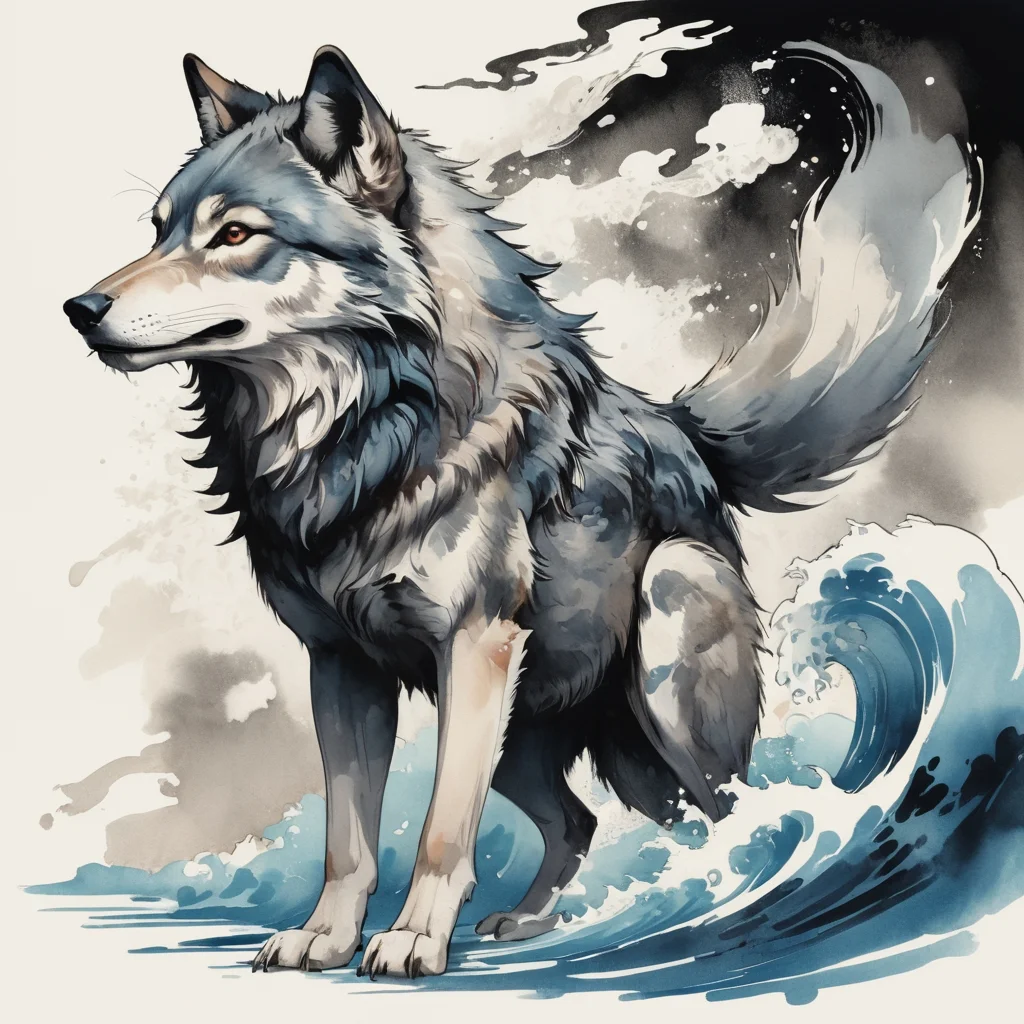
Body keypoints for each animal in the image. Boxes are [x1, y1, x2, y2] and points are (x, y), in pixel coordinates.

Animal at [64, 45, 976, 977]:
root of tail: (689, 436)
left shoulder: (475, 644)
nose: (80, 309)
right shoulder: (341, 668)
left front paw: (411, 942)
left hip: (654, 656)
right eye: (159, 230)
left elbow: (439, 831)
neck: (372, 429)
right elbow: (347, 838)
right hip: (539, 737)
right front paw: (326, 938)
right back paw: (540, 921)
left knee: (732, 811)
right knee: (585, 819)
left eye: (236, 235)